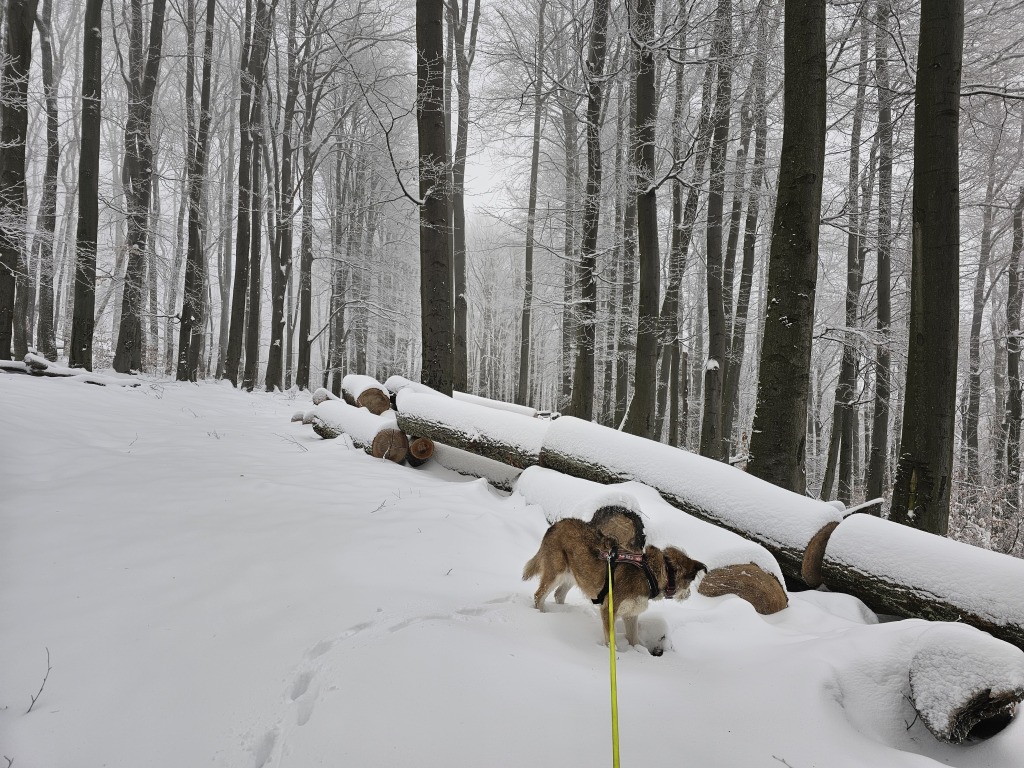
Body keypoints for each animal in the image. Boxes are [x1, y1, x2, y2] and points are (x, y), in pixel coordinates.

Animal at [524, 518, 708, 651]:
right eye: (690, 583)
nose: (689, 595)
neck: (649, 573)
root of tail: (557, 524)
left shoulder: (631, 614)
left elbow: (634, 639)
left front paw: (639, 654)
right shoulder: (608, 610)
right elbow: (610, 642)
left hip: (575, 575)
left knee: (558, 594)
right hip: (556, 573)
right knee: (539, 595)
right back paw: (542, 614)